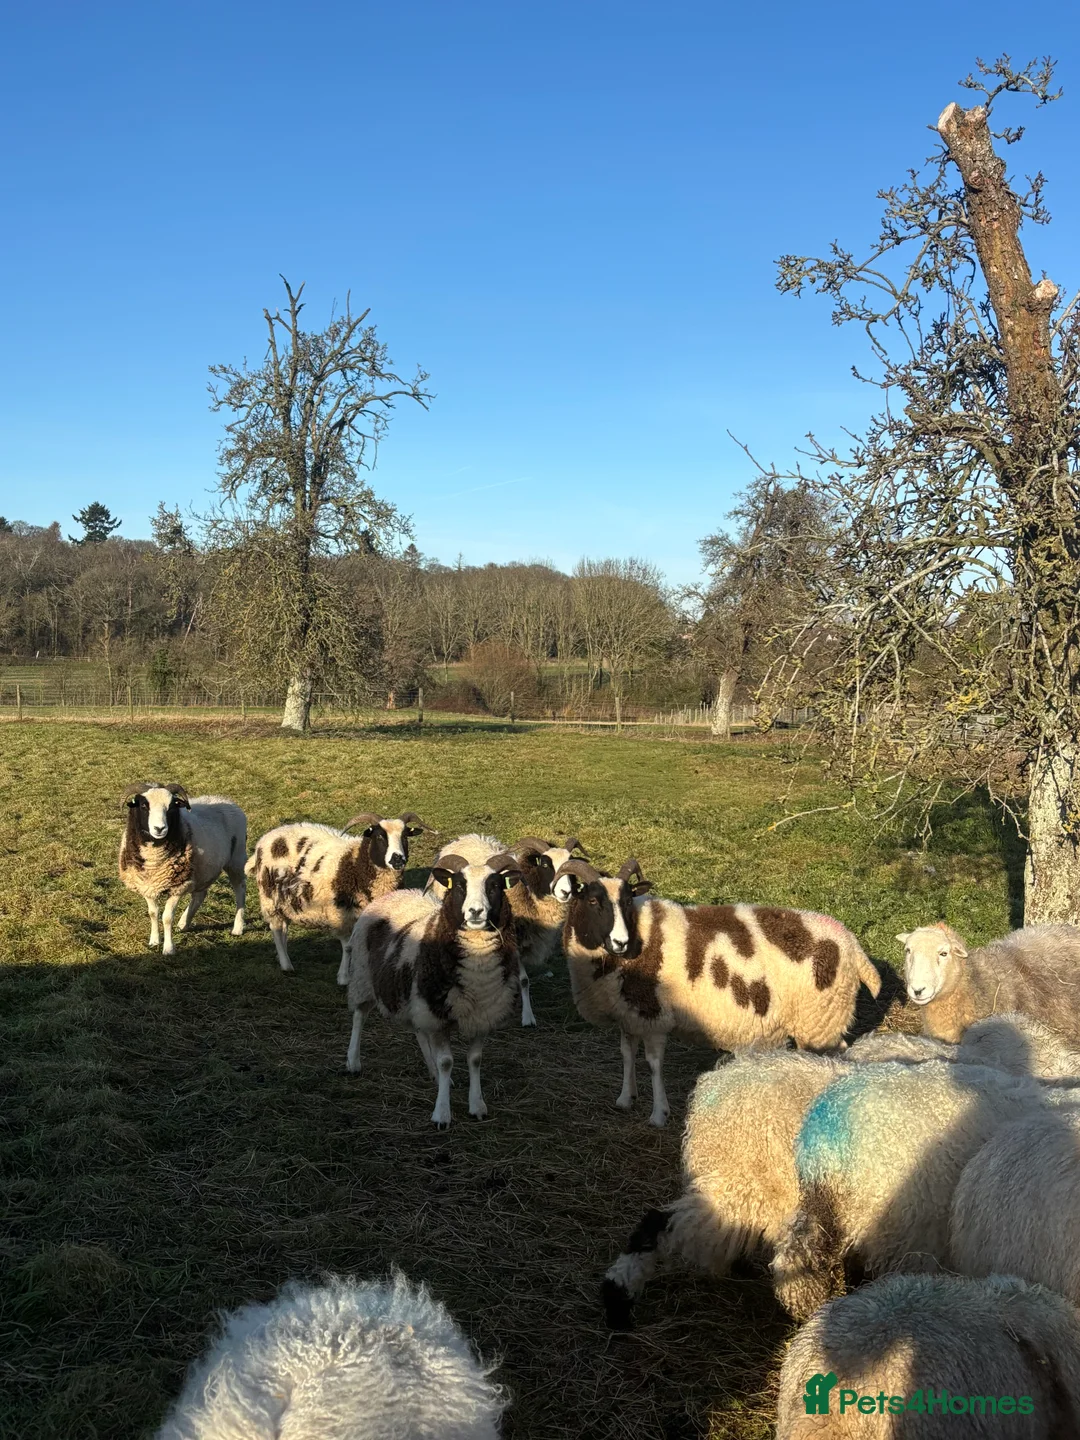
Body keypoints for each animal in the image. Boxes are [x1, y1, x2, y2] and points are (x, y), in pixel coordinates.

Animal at [118, 783, 247, 956]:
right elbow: (153, 913)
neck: (154, 861)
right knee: (200, 895)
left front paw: (168, 948)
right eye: (144, 806)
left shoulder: (177, 886)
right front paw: (154, 941)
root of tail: (227, 800)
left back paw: (237, 928)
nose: (159, 829)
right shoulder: (147, 884)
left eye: (171, 807)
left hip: (236, 860)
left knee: (240, 890)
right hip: (203, 868)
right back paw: (184, 923)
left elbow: (167, 917)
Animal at [245, 813, 433, 976]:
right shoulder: (341, 914)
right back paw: (286, 965)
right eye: (380, 837)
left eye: (405, 837)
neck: (357, 862)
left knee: (283, 928)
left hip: (286, 901)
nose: (398, 859)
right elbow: (348, 946)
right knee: (276, 929)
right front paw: (344, 976)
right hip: (270, 898)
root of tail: (265, 839)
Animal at [347, 850, 523, 1127]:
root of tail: (396, 893)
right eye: (459, 886)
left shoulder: (479, 1016)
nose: (475, 912)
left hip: (415, 999)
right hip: (363, 976)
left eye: (494, 886)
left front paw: (477, 1106)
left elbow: (475, 1060)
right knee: (359, 1016)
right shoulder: (438, 1017)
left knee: (419, 1031)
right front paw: (442, 1114)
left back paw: (434, 1075)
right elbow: (446, 1062)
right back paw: (353, 1061)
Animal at [554, 856, 881, 1127]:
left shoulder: (654, 1015)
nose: (620, 942)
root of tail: (853, 945)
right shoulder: (629, 1012)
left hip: (821, 1019)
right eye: (593, 901)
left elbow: (654, 1064)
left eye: (625, 902)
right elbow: (626, 1054)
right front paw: (625, 1098)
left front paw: (658, 1114)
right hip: (822, 1020)